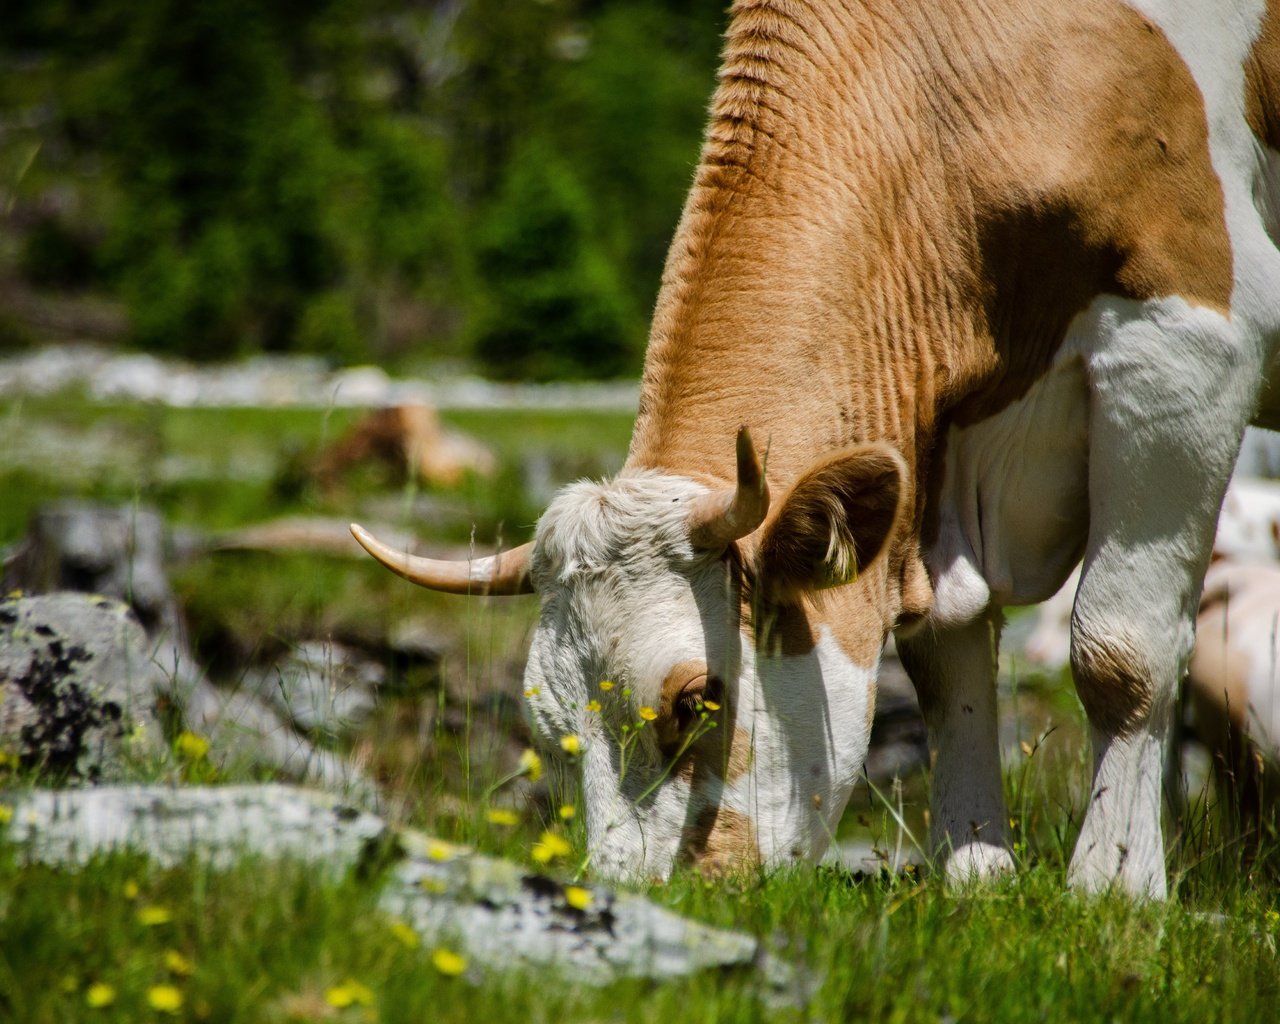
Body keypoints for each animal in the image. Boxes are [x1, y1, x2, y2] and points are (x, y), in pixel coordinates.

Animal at [350, 0, 1280, 896]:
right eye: (551, 730)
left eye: (698, 700)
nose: (644, 892)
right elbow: (946, 654)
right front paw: (975, 869)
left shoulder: (1185, 341)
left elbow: (1121, 651)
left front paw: (1114, 886)